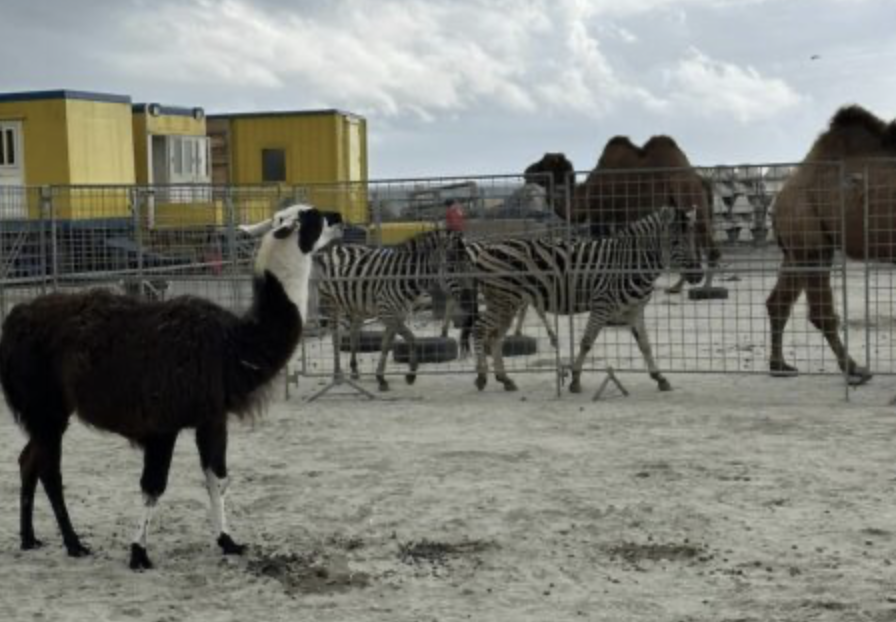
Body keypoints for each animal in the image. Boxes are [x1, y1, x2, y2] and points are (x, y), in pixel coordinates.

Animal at [314, 229, 468, 392]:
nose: (466, 298)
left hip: (357, 306)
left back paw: (354, 370)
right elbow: (412, 339)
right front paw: (410, 375)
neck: (406, 276)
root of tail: (335, 248)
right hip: (332, 304)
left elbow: (386, 345)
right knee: (336, 337)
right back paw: (337, 374)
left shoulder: (398, 315)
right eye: (451, 267)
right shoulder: (387, 313)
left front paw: (381, 378)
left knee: (354, 334)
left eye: (468, 265)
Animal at [462, 206, 708, 394]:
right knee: (479, 329)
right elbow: (587, 342)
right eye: (675, 241)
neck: (631, 262)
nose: (698, 275)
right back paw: (482, 377)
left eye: (693, 239)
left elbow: (645, 345)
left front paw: (659, 377)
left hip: (508, 303)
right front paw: (575, 380)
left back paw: (504, 379)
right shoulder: (602, 306)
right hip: (502, 300)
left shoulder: (635, 310)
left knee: (495, 337)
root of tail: (487, 248)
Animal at [524, 136, 720, 292]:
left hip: (690, 198)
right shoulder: (620, 218)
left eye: (542, 162)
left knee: (710, 247)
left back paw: (705, 288)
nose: (526, 171)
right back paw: (678, 286)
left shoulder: (601, 215)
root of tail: (701, 180)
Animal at [764, 105, 896, 382]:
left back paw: (780, 365)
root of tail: (781, 193)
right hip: (810, 235)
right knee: (821, 312)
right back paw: (855, 368)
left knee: (778, 302)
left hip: (795, 249)